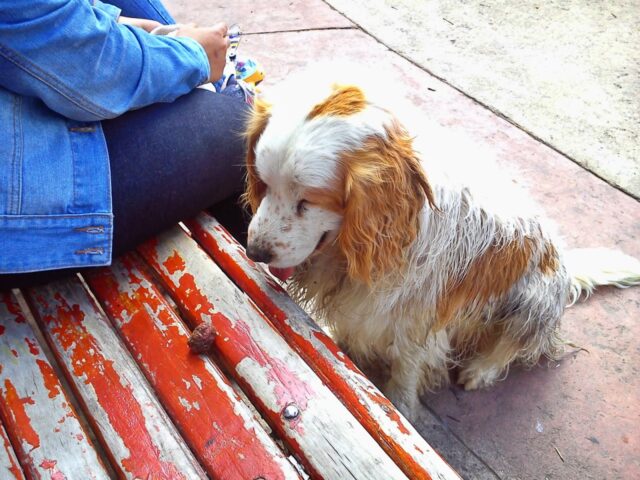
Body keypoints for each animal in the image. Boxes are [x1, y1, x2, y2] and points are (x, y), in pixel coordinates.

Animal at [241, 71, 640, 420]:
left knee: (515, 345)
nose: (254, 251)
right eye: (264, 183)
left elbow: (406, 365)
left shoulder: (419, 314)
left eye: (307, 201)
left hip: (532, 300)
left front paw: (400, 406)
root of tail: (567, 267)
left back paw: (481, 369)